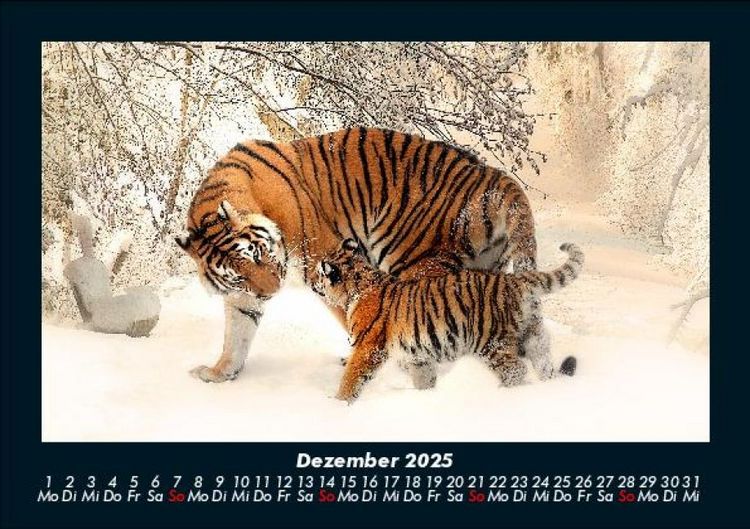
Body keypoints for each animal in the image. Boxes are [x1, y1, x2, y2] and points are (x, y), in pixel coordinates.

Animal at [176, 128, 538, 383]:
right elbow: (236, 334)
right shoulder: (243, 295)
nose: (272, 292)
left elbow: (351, 314)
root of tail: (493, 176)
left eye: (257, 254)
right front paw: (219, 373)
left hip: (414, 261)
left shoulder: (322, 260)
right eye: (238, 275)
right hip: (485, 269)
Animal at [314, 239, 583, 402]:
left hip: (491, 342)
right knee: (544, 364)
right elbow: (424, 379)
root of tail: (515, 280)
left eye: (319, 273)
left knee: (516, 370)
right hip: (534, 336)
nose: (314, 284)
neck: (357, 286)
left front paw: (339, 404)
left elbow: (351, 378)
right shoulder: (418, 356)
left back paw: (501, 394)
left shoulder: (367, 348)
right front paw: (425, 397)